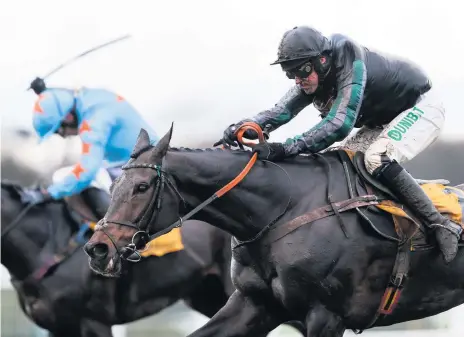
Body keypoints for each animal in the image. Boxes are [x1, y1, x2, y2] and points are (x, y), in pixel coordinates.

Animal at [84, 126, 464, 336]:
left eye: (142, 187)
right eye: (114, 185)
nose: (98, 249)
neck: (281, 210)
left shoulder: (326, 315)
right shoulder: (255, 304)